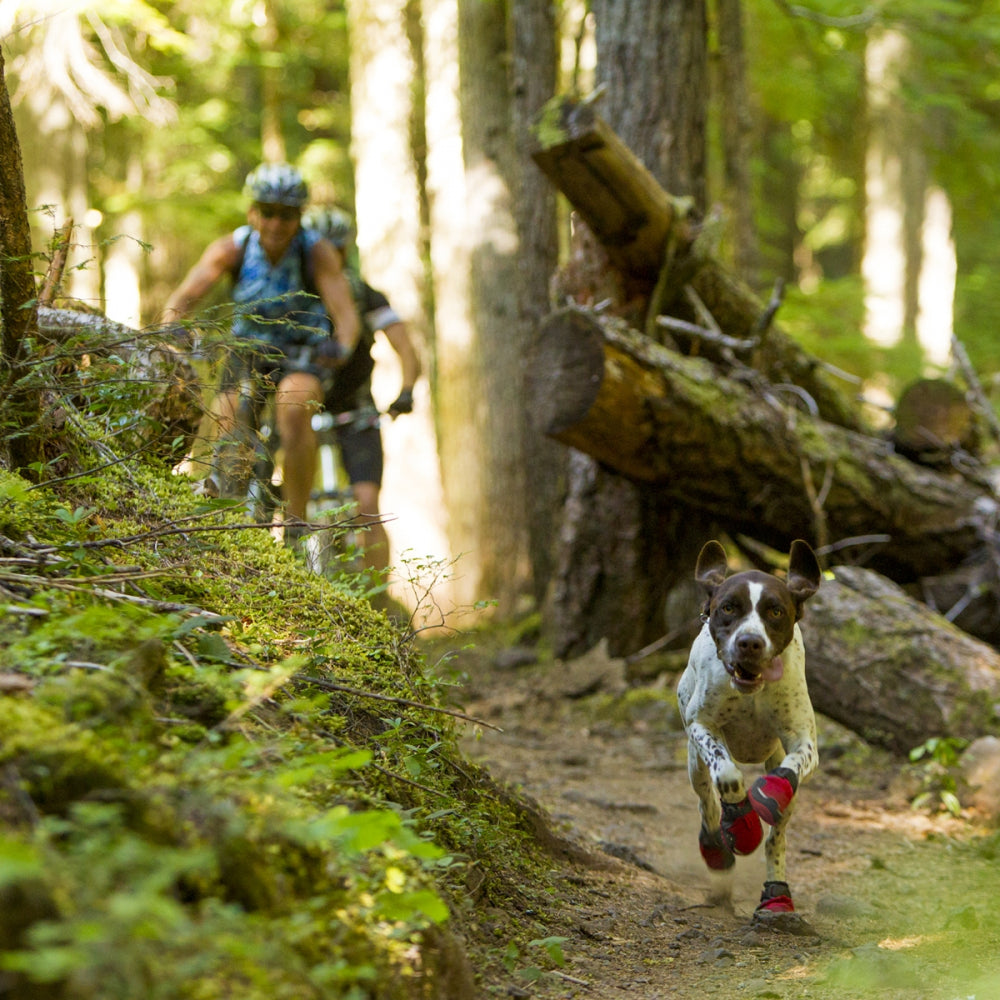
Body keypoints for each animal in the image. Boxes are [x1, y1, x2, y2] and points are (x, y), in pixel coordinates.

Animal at [680, 540, 820, 916]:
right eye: (728, 607)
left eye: (775, 611)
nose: (749, 642)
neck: (751, 690)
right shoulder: (702, 725)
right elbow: (727, 773)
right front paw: (741, 822)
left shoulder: (803, 740)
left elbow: (791, 769)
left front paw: (769, 793)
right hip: (694, 765)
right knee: (707, 805)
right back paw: (716, 847)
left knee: (777, 838)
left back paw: (777, 894)